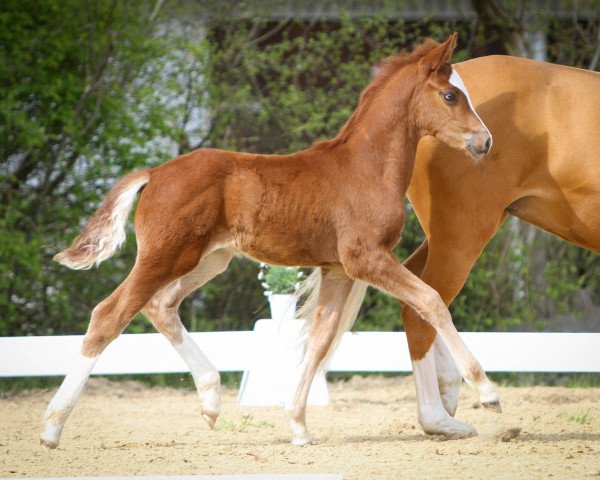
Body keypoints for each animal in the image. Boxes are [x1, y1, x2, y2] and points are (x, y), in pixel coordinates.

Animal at [39, 32, 494, 446]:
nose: (485, 141)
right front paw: (487, 391)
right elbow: (431, 301)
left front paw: (298, 425)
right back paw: (52, 429)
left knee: (161, 305)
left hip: (209, 259)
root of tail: (154, 173)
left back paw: (210, 400)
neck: (365, 168)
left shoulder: (337, 269)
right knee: (109, 315)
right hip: (165, 257)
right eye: (450, 95)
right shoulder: (367, 258)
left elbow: (319, 338)